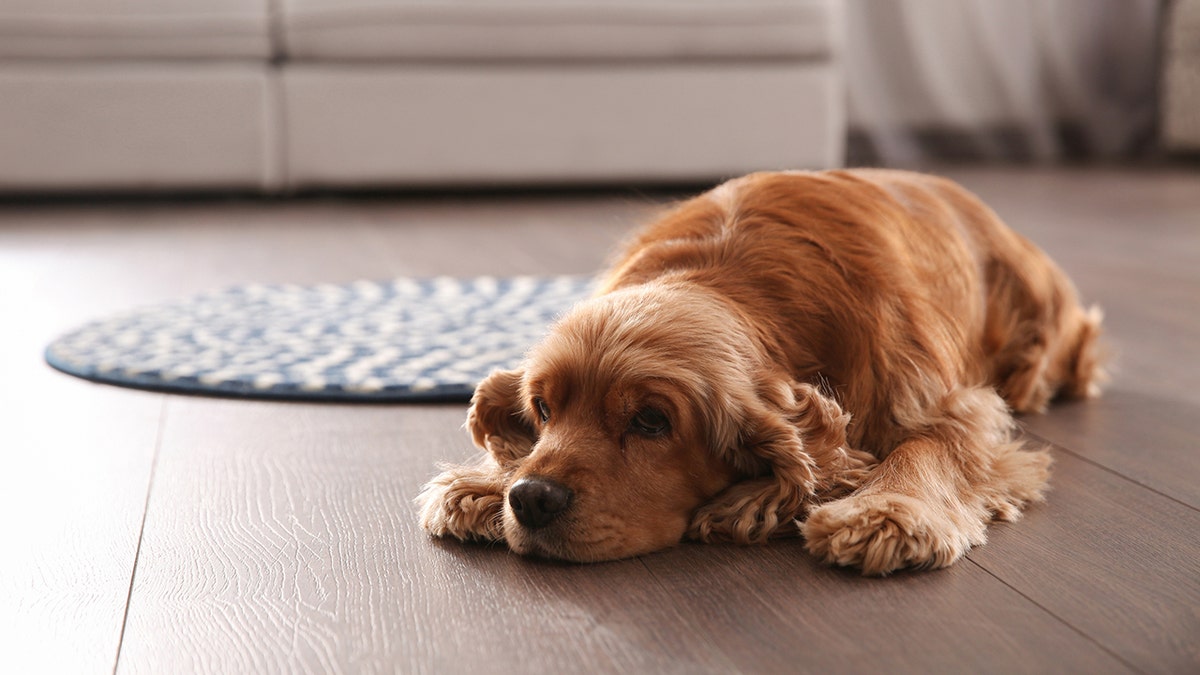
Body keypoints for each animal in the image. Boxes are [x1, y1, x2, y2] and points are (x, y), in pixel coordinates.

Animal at [415, 168, 1104, 571]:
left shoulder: (947, 399)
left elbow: (933, 443)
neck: (726, 277)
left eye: (651, 421)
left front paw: (887, 512)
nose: (531, 499)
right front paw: (482, 484)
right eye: (543, 408)